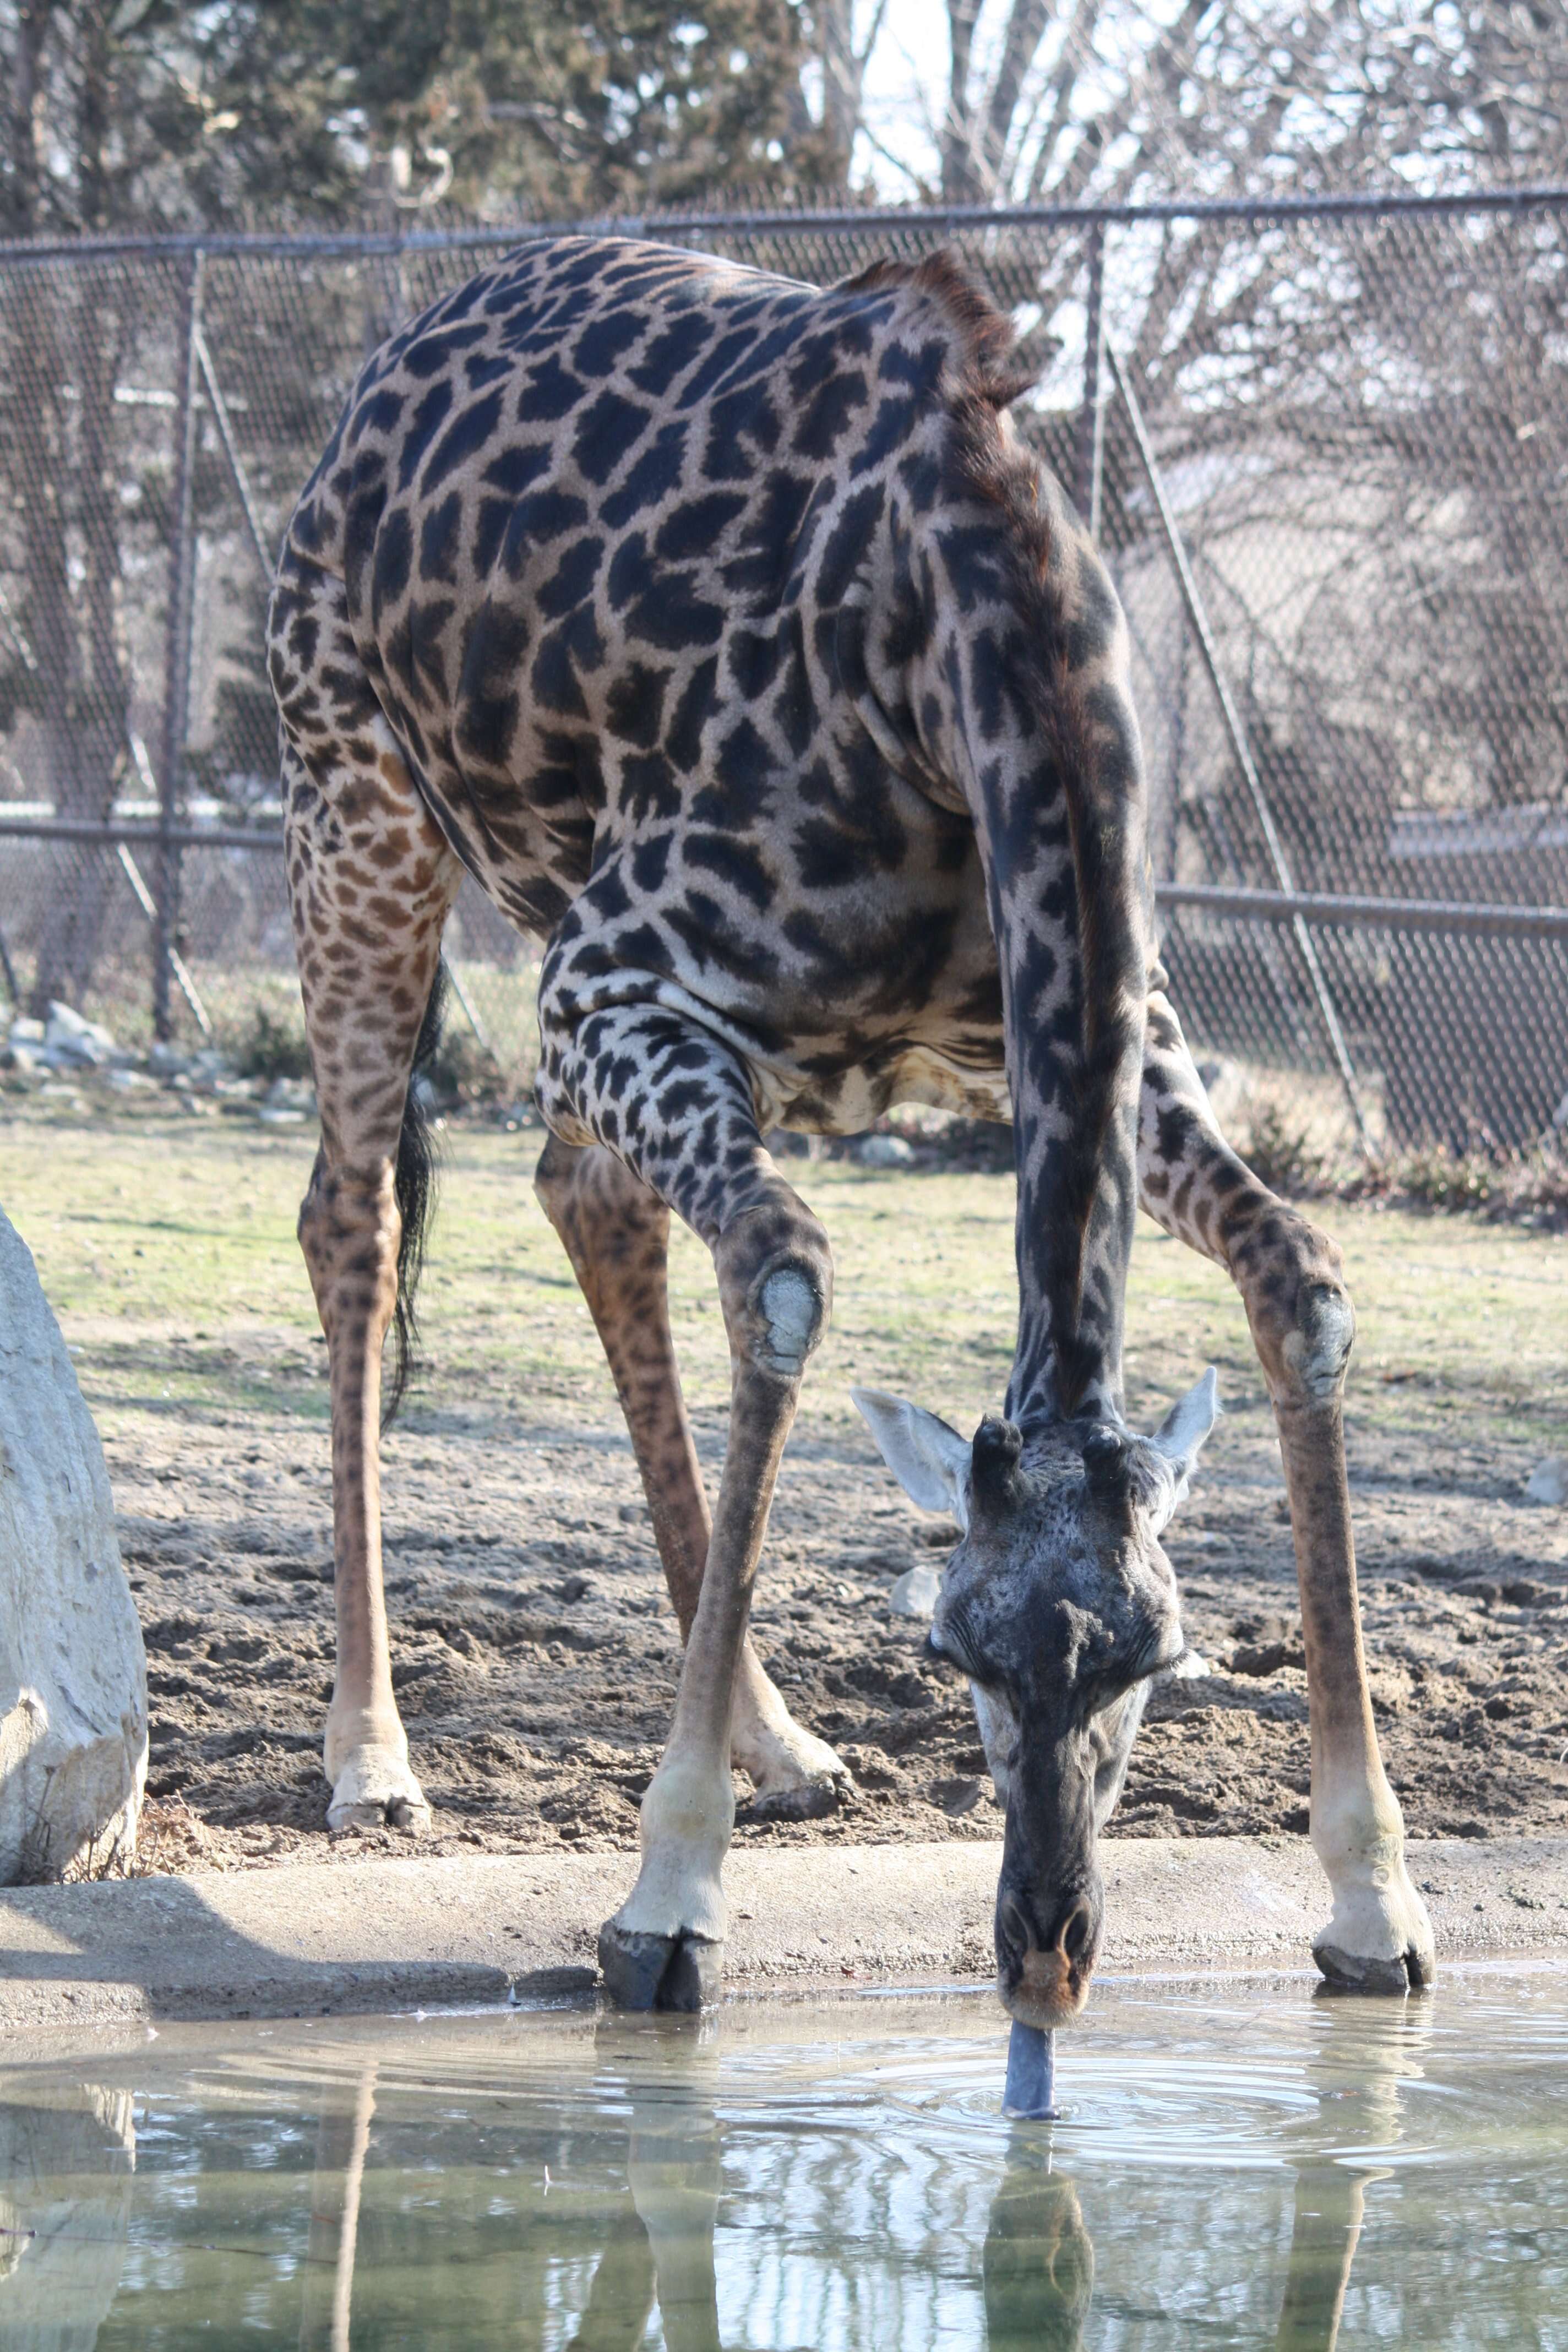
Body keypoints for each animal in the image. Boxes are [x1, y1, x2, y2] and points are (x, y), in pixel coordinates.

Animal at [270, 229, 1439, 2013]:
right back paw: (371, 1753)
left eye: (1156, 1661)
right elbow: (785, 1279)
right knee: (357, 1209)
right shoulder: (610, 981)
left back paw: (777, 1735)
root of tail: (381, 374)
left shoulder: (1090, 1028)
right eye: (949, 1648)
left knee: (583, 1199)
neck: (959, 651)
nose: (1048, 1944)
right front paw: (665, 1897)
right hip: (359, 815)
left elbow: (1294, 1278)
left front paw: (1373, 1897)